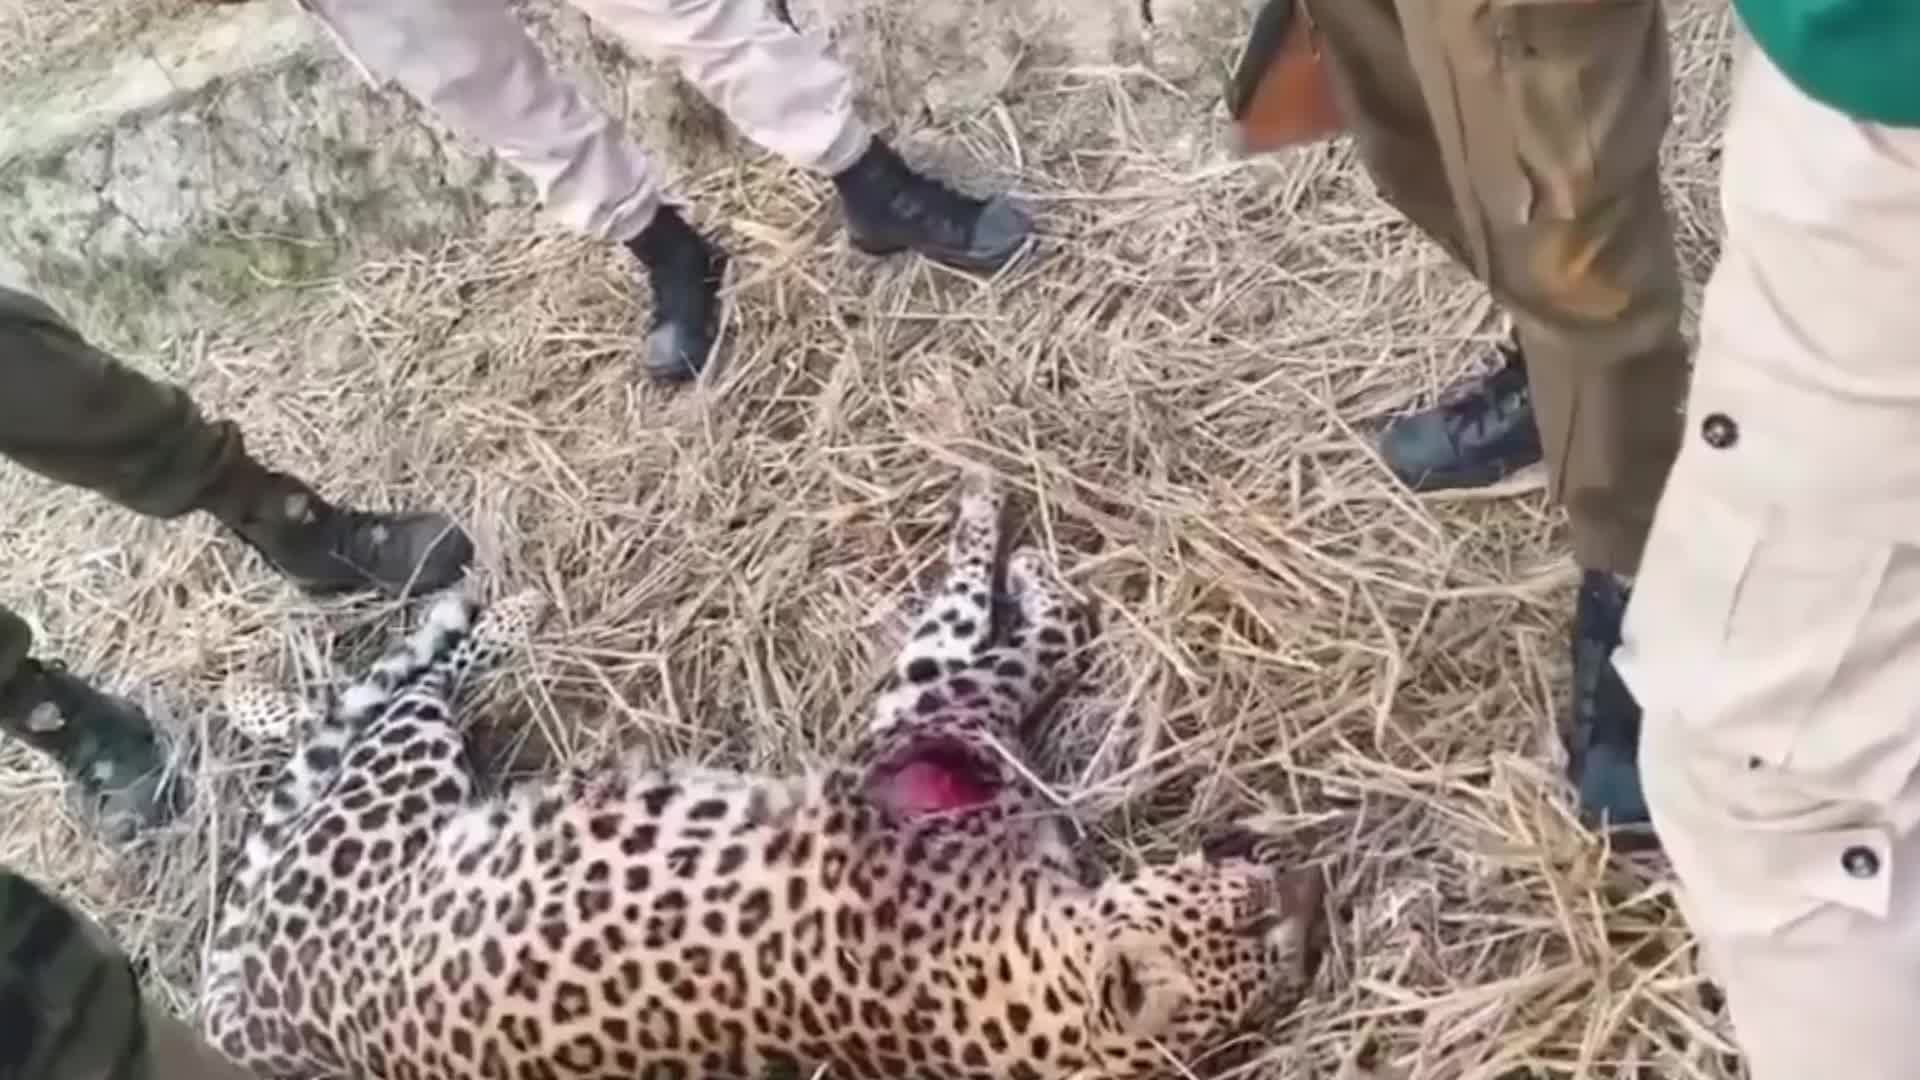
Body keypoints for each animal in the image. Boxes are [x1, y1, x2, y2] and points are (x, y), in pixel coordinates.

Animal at [189, 465, 1329, 1080]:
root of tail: (251, 1018)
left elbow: (1006, 628)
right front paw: (1013, 543)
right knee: (371, 703)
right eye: (1253, 923)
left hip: (405, 786)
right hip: (406, 774)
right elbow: (1021, 628)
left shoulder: (933, 720)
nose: (1307, 884)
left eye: (1287, 955)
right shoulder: (930, 716)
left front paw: (1011, 547)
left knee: (366, 713)